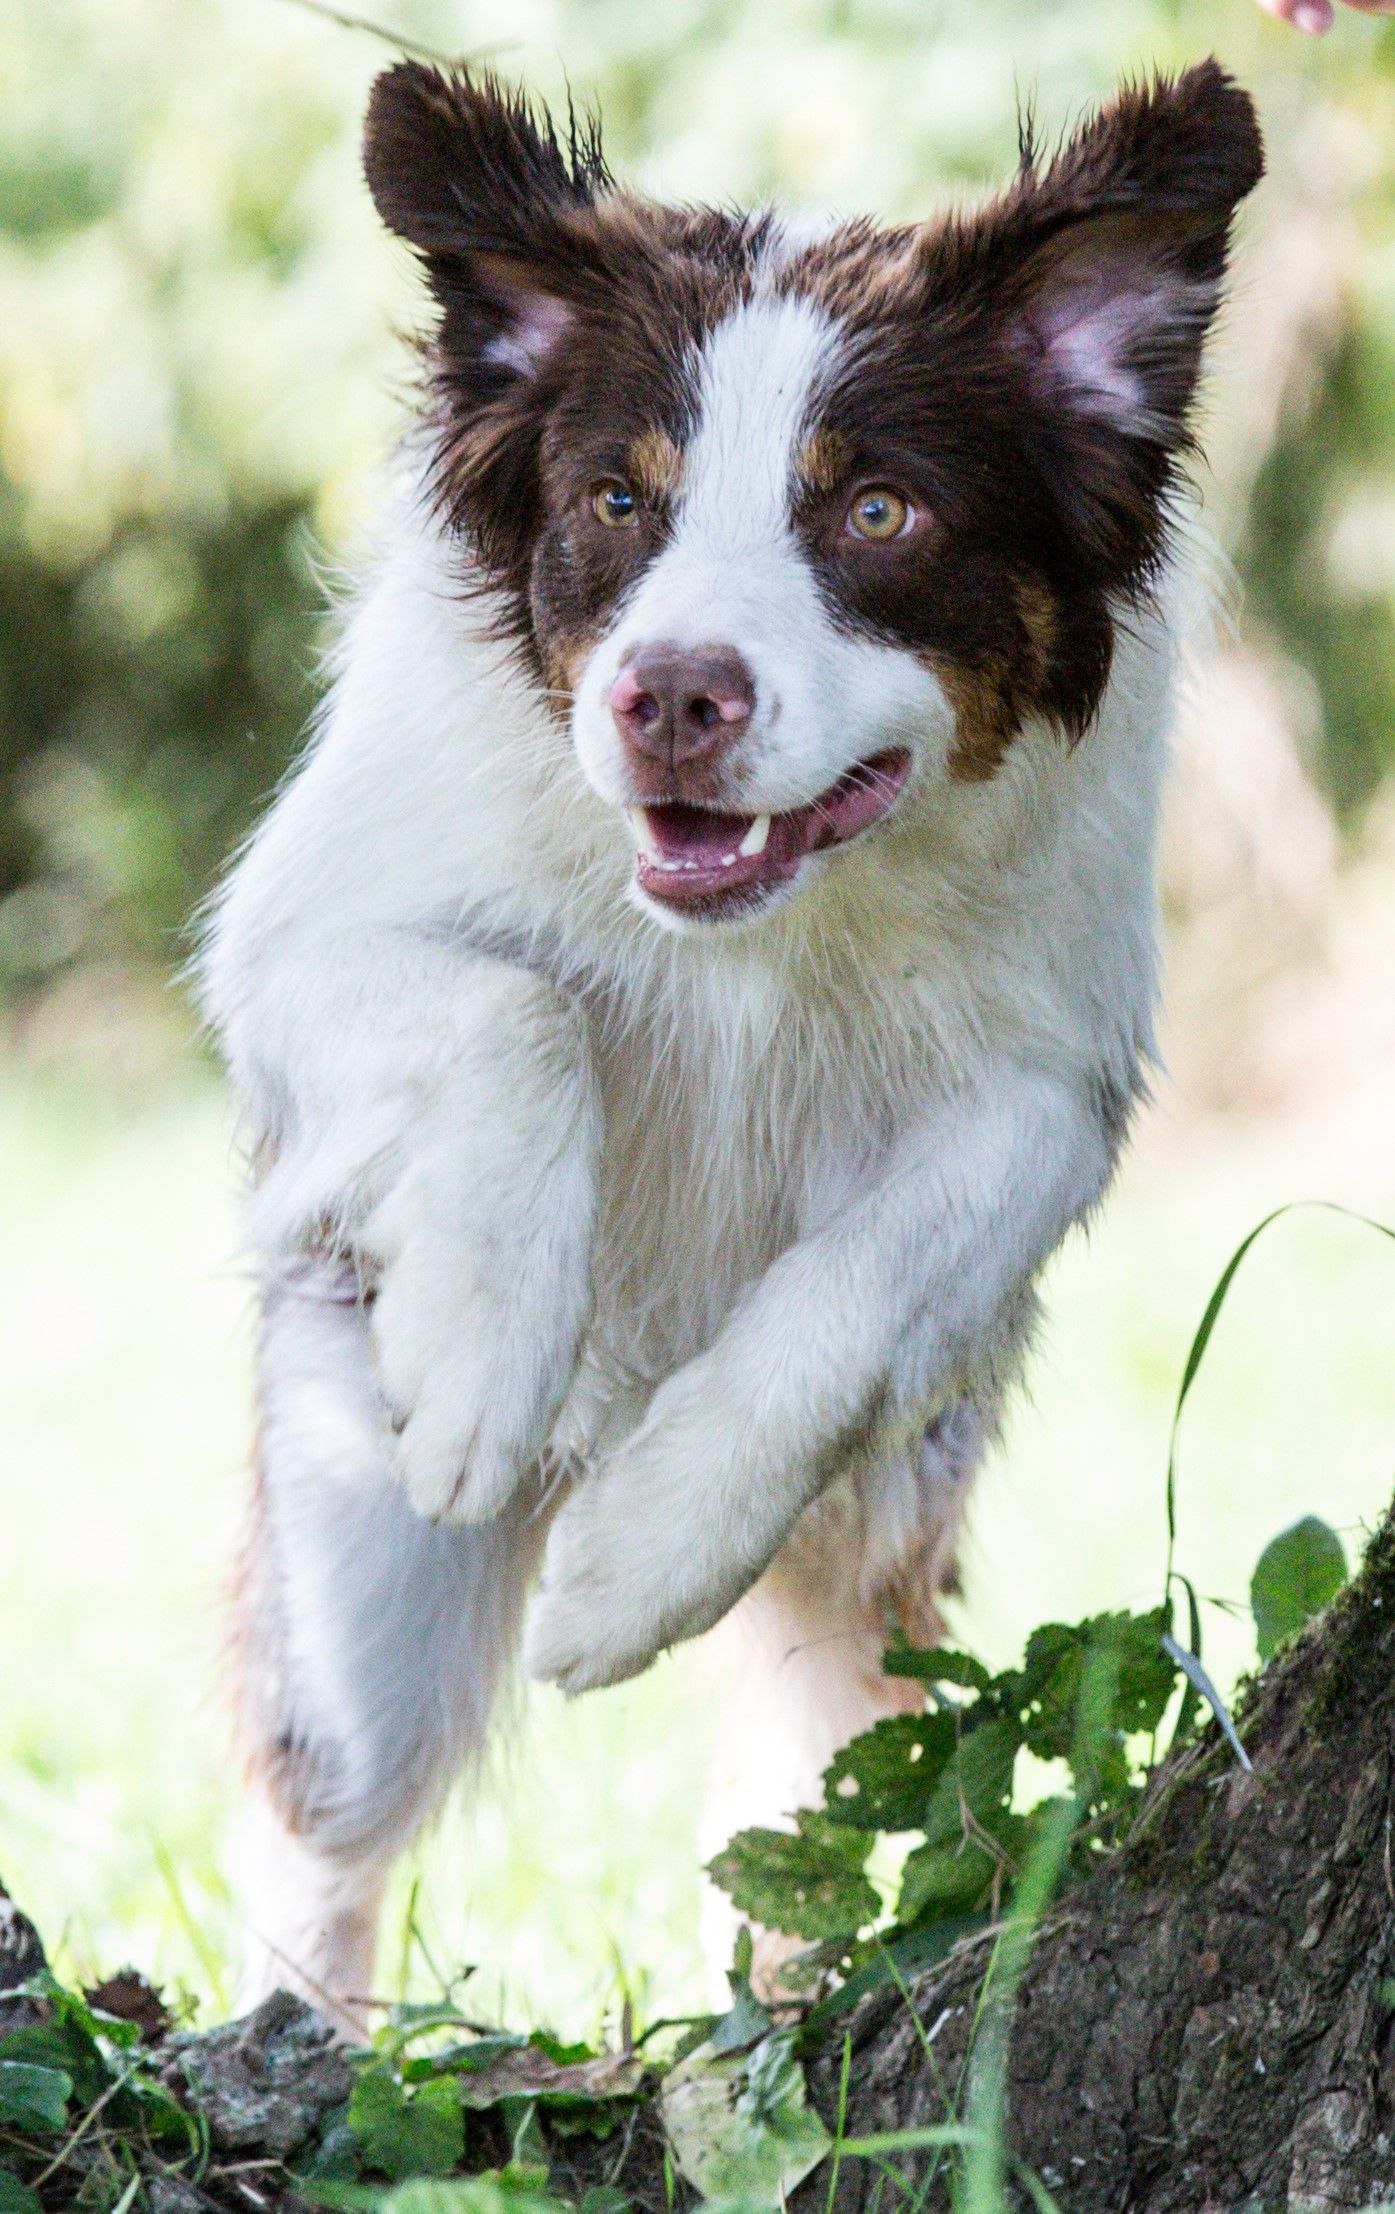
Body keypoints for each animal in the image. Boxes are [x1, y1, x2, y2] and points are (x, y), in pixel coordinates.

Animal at [199, 56, 1262, 2028]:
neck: (765, 929)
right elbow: (520, 1005)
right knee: (327, 1803)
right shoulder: (300, 927)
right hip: (350, 1544)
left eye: (880, 515)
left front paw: (635, 1558)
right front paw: (475, 1362)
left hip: (875, 1548)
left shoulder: (1059, 1062)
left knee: (814, 1796)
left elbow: (895, 1245)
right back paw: (297, 2041)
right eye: (619, 498)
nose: (670, 695)